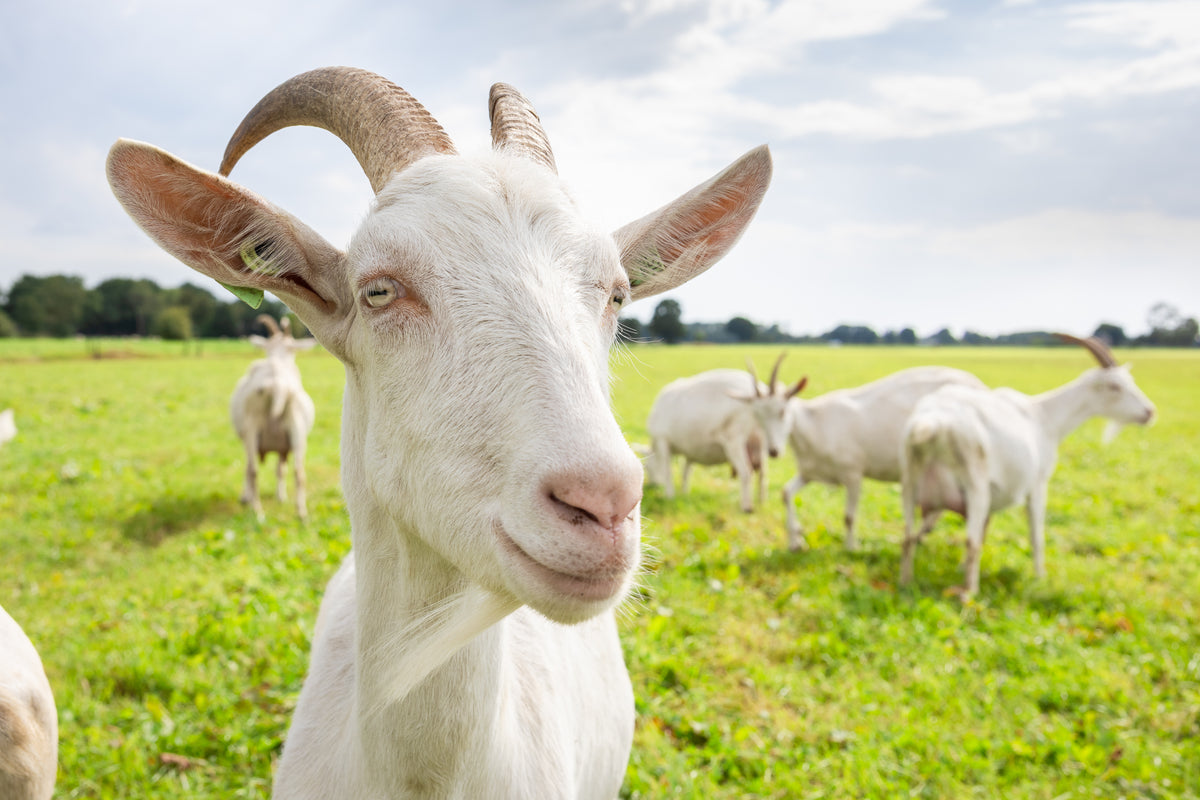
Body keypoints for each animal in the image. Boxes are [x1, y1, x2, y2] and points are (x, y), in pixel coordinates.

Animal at [230, 314, 316, 521]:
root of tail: (277, 385)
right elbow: (281, 469)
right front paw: (281, 496)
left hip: (252, 427)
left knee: (252, 470)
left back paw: (257, 511)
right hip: (297, 430)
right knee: (298, 471)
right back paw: (301, 513)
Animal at [646, 355, 805, 512]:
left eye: (782, 411)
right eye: (760, 414)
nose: (652, 486)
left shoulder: (663, 441)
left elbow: (671, 471)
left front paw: (671, 496)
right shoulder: (687, 449)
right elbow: (684, 471)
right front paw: (682, 495)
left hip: (734, 441)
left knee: (747, 472)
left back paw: (747, 507)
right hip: (754, 442)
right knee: (760, 473)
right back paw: (760, 503)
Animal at [781, 366, 986, 551]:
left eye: (782, 412)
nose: (774, 451)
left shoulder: (852, 472)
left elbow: (848, 516)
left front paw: (850, 548)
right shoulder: (811, 472)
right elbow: (787, 492)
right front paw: (796, 539)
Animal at [898, 335, 1156, 597]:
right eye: (1115, 387)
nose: (1149, 412)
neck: (1045, 417)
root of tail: (933, 423)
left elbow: (984, 529)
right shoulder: (1038, 483)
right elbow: (1036, 536)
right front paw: (1040, 578)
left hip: (911, 478)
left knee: (908, 536)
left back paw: (907, 583)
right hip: (975, 481)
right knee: (970, 542)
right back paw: (969, 593)